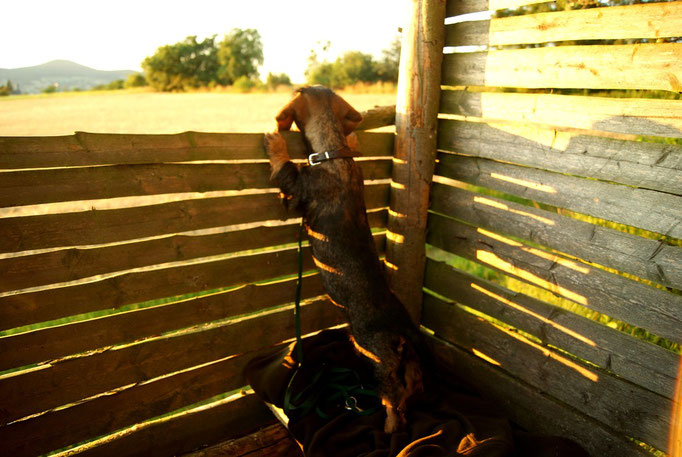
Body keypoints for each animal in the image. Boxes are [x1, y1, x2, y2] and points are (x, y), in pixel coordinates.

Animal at [262, 85, 422, 432]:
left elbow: (284, 168)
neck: (331, 153)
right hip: (405, 367)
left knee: (393, 401)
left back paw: (388, 428)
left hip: (376, 359)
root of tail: (403, 332)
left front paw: (275, 141)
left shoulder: (294, 195)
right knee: (407, 394)